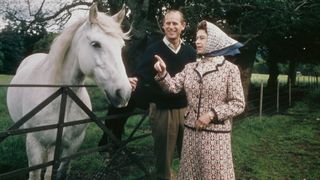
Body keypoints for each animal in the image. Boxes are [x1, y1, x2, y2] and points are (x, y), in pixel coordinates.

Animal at [6, 4, 131, 180]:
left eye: (121, 47)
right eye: (96, 44)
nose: (124, 93)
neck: (63, 98)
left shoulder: (73, 145)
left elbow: (61, 170)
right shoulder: (35, 145)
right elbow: (36, 174)